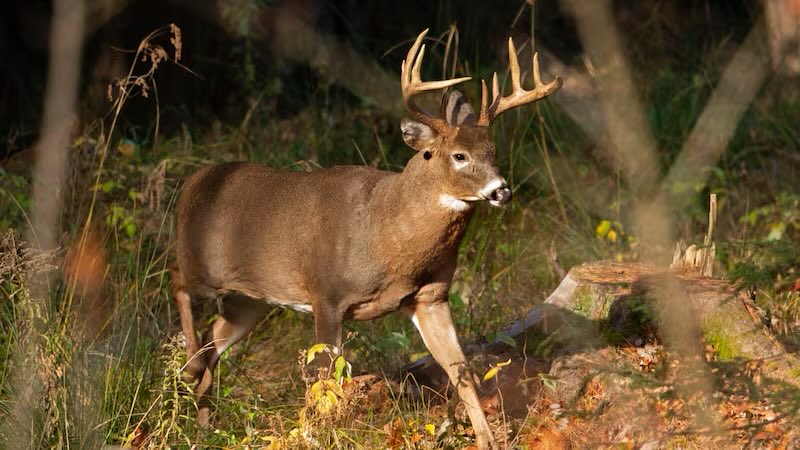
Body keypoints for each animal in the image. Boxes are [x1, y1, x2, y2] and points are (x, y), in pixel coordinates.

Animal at [171, 29, 561, 450]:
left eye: (493, 152)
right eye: (459, 155)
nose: (502, 190)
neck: (386, 236)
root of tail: (191, 183)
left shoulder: (430, 297)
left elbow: (462, 372)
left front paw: (488, 440)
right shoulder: (326, 294)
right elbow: (325, 382)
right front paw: (320, 435)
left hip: (252, 298)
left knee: (214, 338)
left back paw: (202, 426)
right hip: (202, 265)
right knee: (178, 284)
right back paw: (190, 372)